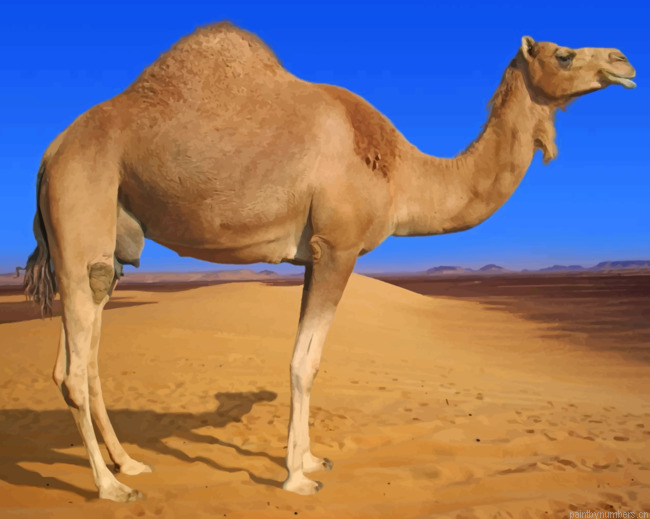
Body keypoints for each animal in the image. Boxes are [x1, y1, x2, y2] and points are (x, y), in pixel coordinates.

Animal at [23, 22, 635, 502]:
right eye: (564, 54)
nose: (624, 62)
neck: (403, 172)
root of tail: (49, 154)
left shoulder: (313, 255)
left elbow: (307, 359)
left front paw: (312, 459)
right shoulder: (337, 247)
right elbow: (304, 363)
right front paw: (298, 478)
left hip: (109, 246)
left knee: (83, 357)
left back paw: (129, 463)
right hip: (82, 208)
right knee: (74, 369)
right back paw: (110, 486)